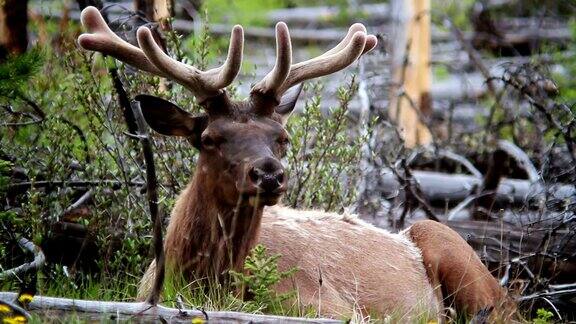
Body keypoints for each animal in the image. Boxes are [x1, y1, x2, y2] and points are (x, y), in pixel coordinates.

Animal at [77, 6, 512, 322]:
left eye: (281, 138)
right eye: (209, 138)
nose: (269, 174)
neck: (198, 279)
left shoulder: (331, 307)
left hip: (456, 254)